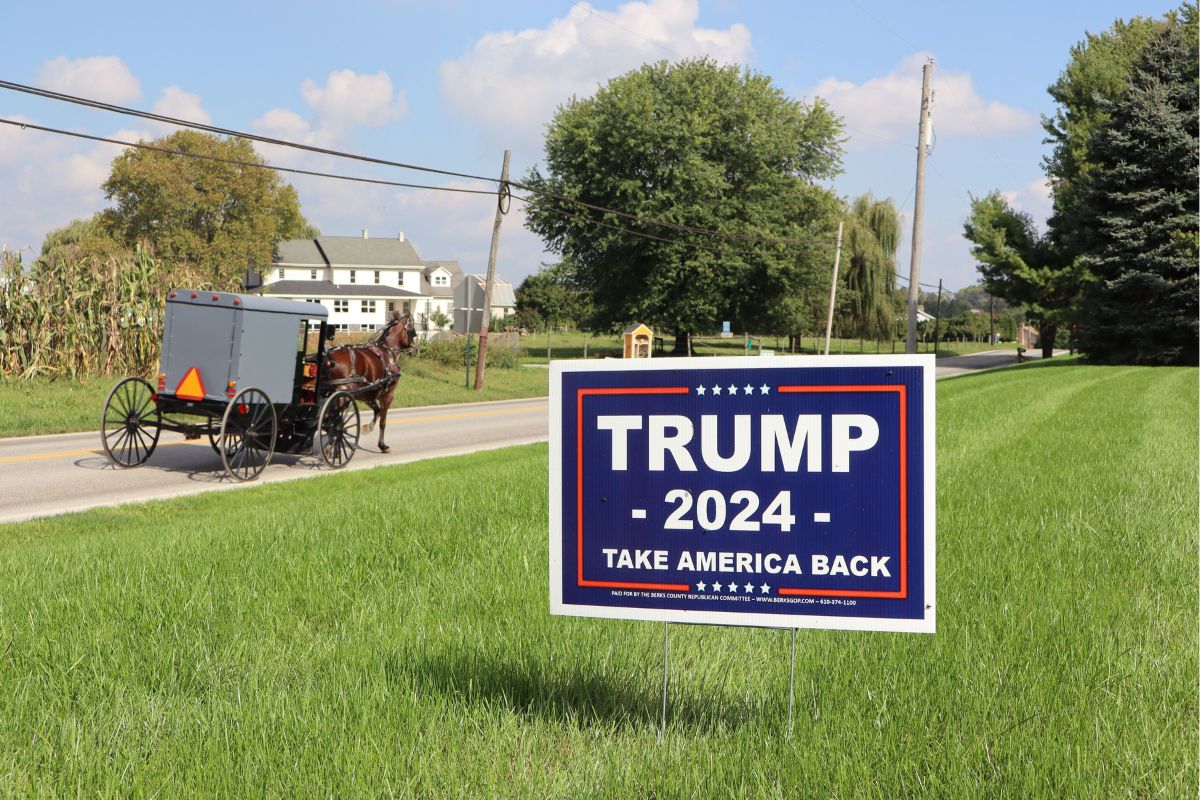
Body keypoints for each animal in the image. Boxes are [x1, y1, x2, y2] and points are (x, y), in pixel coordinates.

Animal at [324, 311, 417, 450]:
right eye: (412, 329)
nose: (416, 348)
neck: (388, 353)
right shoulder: (388, 395)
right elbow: (383, 421)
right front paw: (382, 445)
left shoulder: (367, 394)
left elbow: (377, 411)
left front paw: (366, 428)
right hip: (343, 394)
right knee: (329, 418)